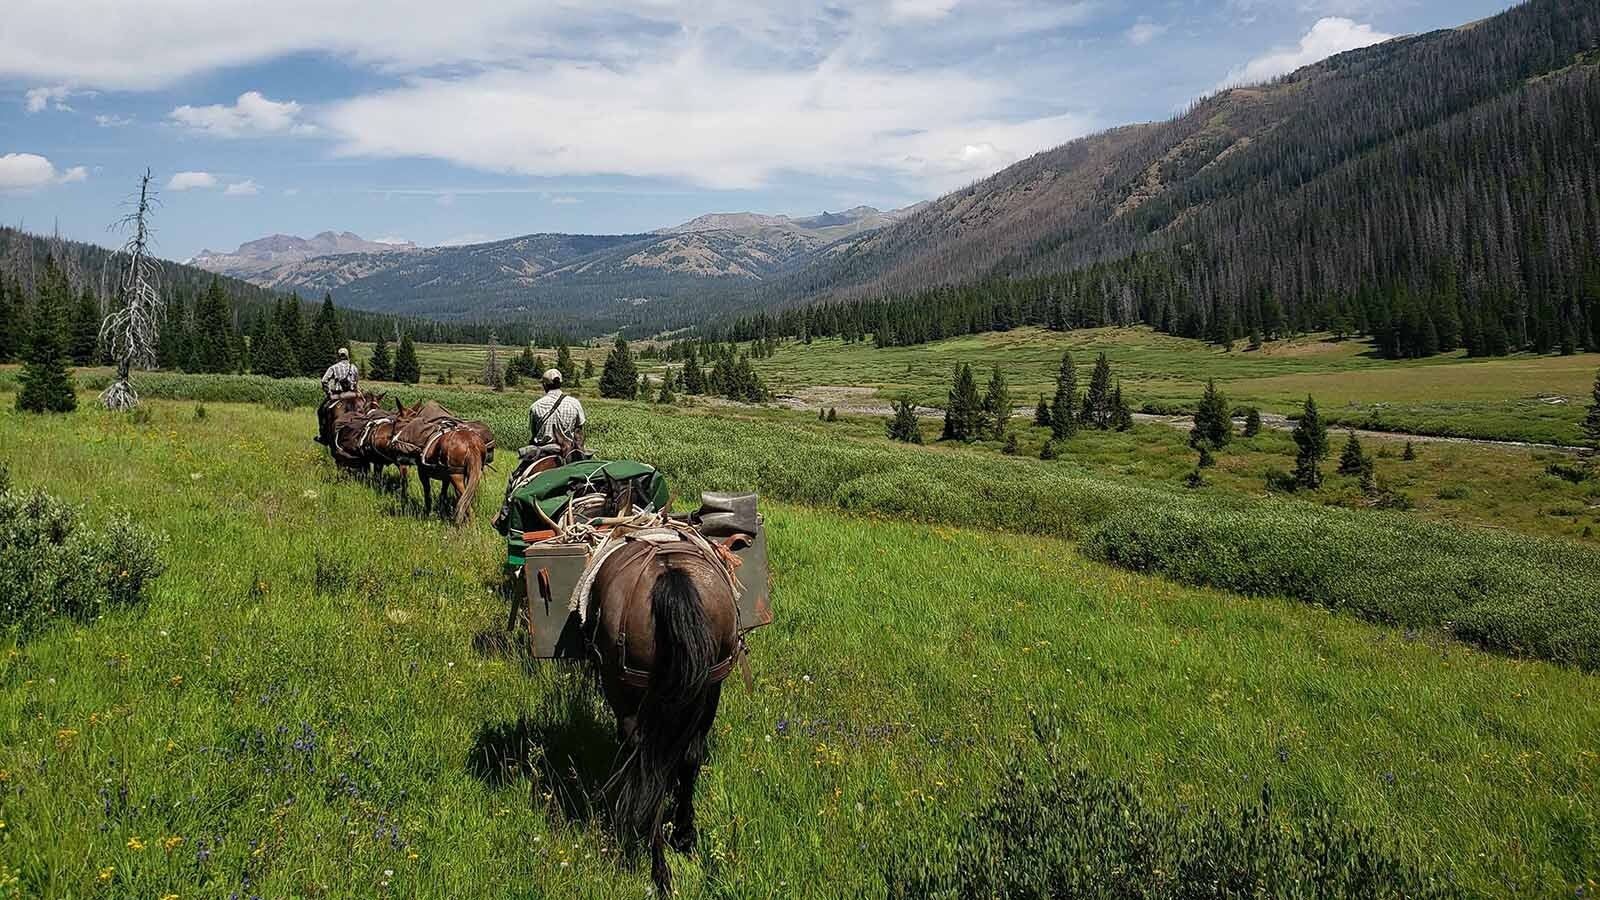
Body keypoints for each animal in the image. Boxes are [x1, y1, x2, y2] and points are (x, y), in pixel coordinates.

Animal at [585, 531, 739, 890]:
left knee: (649, 764)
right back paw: (683, 835)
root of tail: (670, 576)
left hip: (628, 695)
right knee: (687, 757)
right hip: (709, 687)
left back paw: (659, 868)